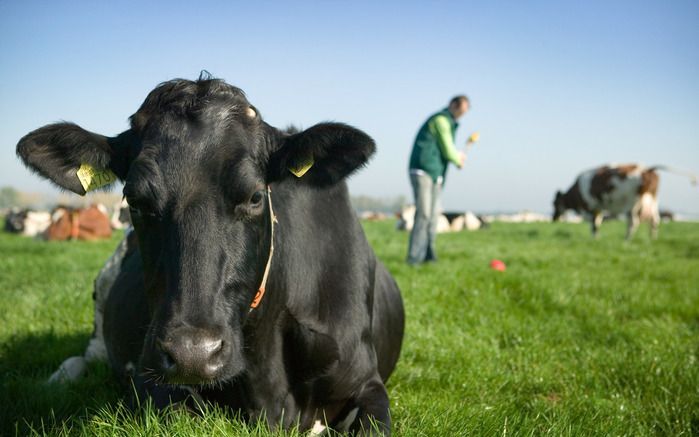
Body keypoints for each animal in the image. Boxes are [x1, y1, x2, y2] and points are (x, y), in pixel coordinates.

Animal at [16, 74, 404, 432]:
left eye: (255, 196)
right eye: (135, 201)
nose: (193, 354)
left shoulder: (367, 384)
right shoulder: (151, 382)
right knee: (86, 356)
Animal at [556, 164, 696, 238]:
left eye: (554, 203)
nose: (554, 218)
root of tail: (647, 169)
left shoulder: (592, 206)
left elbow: (594, 224)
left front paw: (594, 238)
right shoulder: (598, 208)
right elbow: (597, 222)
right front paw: (596, 237)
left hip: (632, 204)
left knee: (633, 222)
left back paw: (627, 240)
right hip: (652, 201)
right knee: (655, 220)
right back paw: (652, 239)